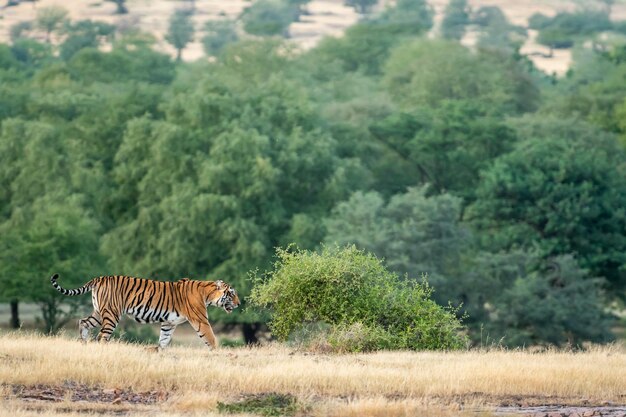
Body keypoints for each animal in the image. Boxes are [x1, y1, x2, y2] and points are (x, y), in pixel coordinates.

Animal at [48, 272, 238, 350]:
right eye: (231, 293)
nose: (239, 303)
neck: (207, 294)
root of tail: (99, 278)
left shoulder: (169, 323)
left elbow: (164, 340)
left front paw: (158, 353)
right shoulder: (200, 320)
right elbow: (211, 338)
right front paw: (217, 354)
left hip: (99, 313)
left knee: (83, 322)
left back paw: (83, 343)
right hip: (111, 314)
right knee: (102, 336)